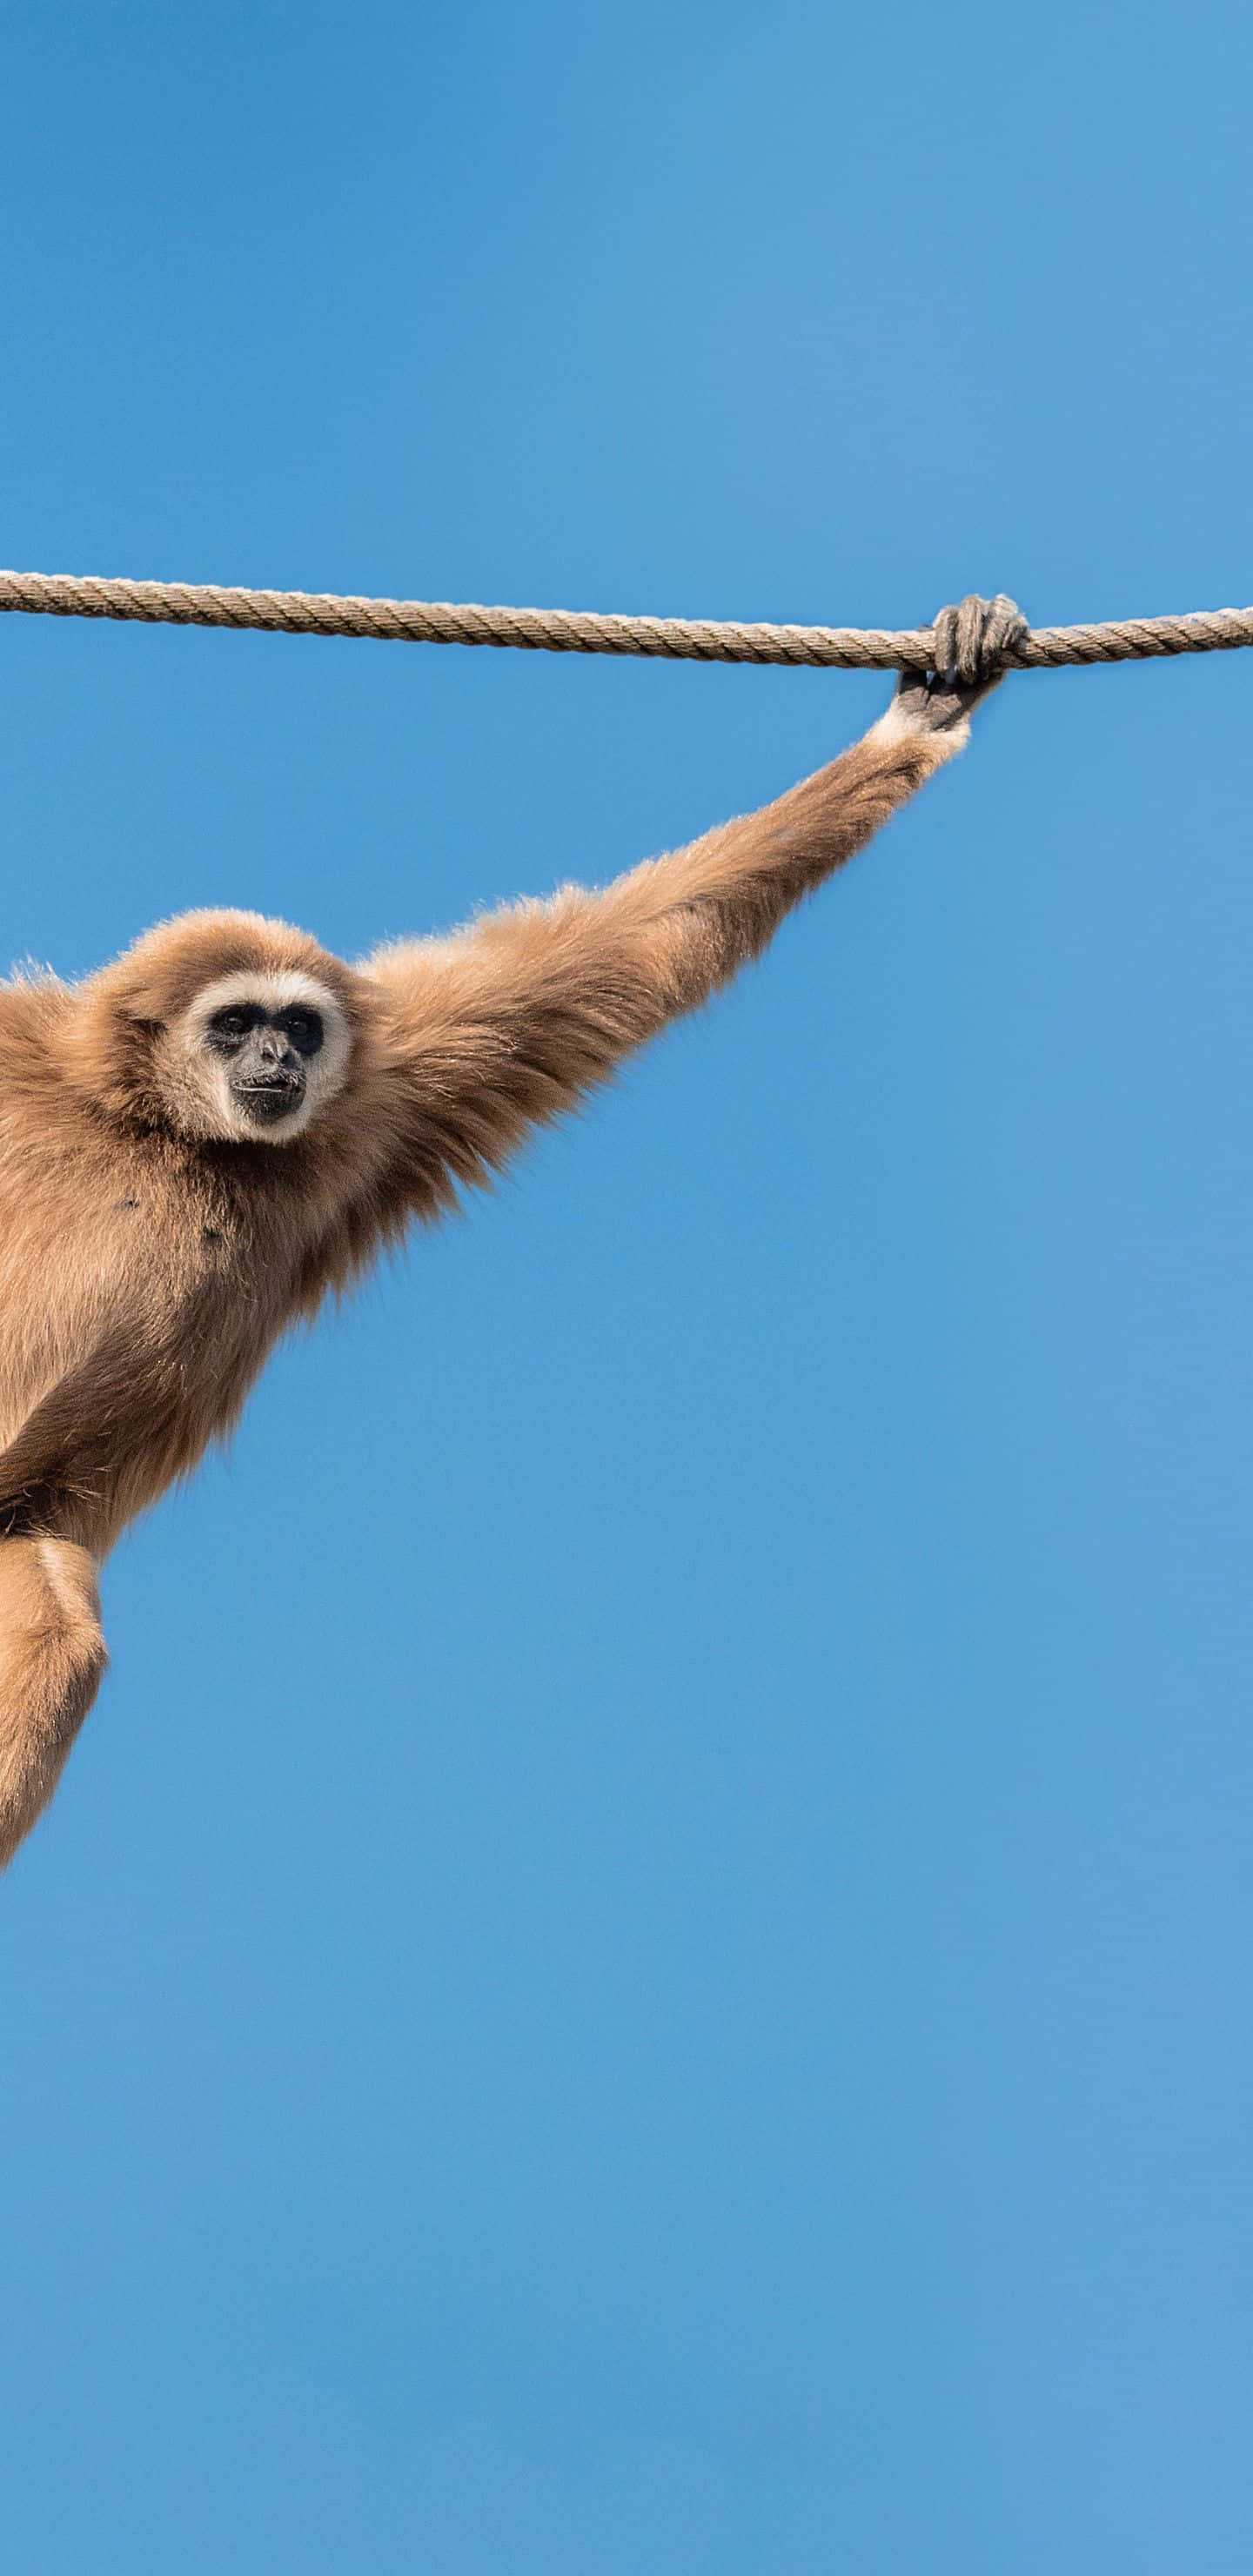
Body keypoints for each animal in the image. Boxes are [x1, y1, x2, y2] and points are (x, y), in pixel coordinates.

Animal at [0, 593, 1024, 1865]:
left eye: (299, 1025)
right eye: (235, 1025)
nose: (280, 1056)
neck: (166, 1132)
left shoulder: (378, 1102)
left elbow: (613, 956)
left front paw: (924, 714)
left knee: (56, 1637)